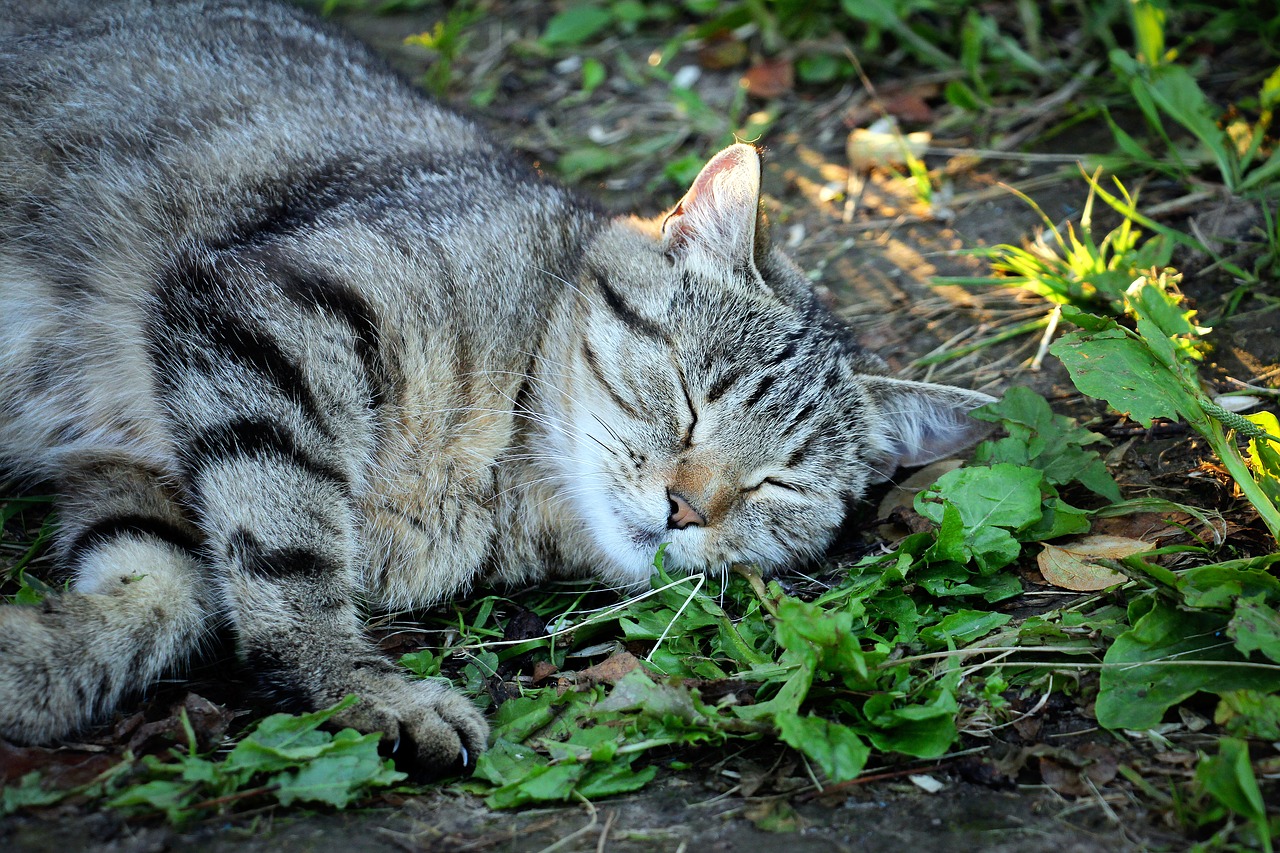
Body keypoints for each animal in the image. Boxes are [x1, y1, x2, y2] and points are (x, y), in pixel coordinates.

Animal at [0, 0, 993, 768]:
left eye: (777, 483)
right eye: (689, 397)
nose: (685, 508)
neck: (500, 479)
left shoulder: (145, 481)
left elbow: (152, 598)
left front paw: (29, 666)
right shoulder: (265, 310)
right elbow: (288, 551)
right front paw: (363, 683)